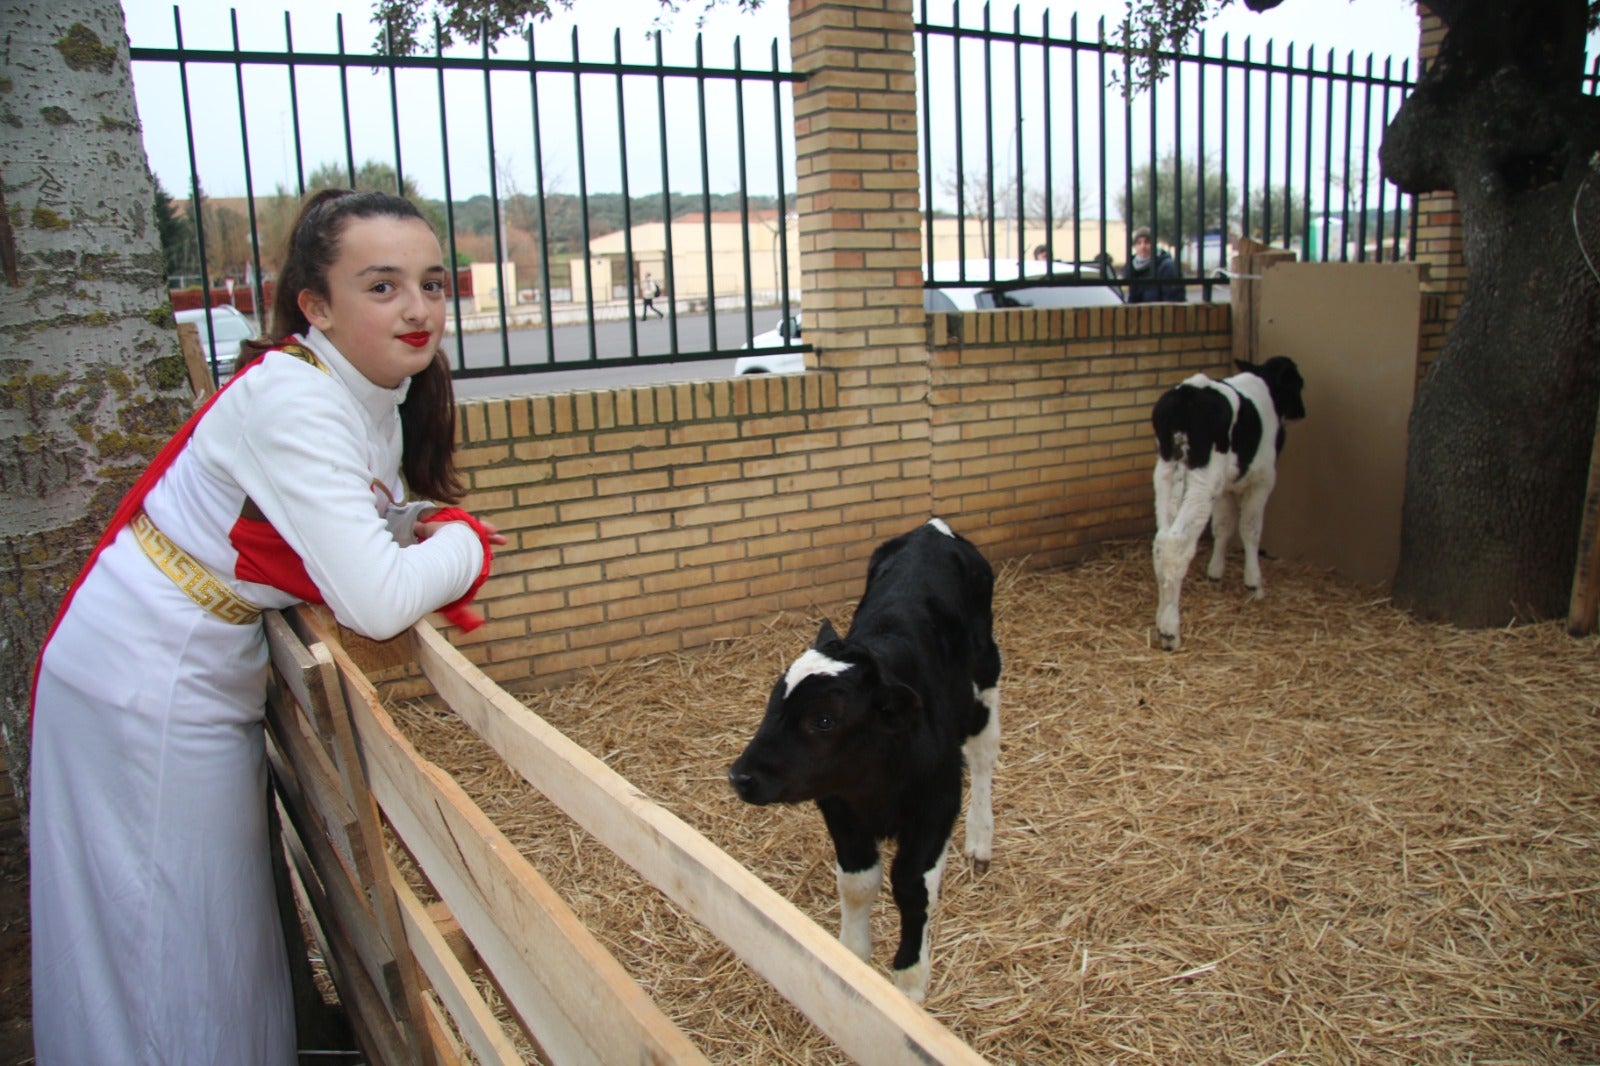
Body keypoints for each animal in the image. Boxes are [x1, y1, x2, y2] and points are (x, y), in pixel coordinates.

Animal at [726, 518, 998, 998]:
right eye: (773, 702)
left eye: (824, 720)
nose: (741, 776)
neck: (876, 783)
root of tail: (933, 528)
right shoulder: (838, 803)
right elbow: (857, 881)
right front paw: (852, 963)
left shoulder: (938, 801)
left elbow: (911, 886)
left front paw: (908, 986)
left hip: (986, 674)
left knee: (984, 753)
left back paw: (981, 838)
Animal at [1158, 356, 1305, 646]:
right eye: (1298, 384)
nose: (1301, 411)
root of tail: (1187, 394)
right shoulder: (1263, 480)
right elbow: (1250, 529)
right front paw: (1254, 583)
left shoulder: (1225, 488)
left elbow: (1223, 526)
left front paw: (1215, 573)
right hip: (1203, 480)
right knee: (1175, 544)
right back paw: (1169, 629)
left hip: (1167, 473)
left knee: (1160, 541)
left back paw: (1161, 614)